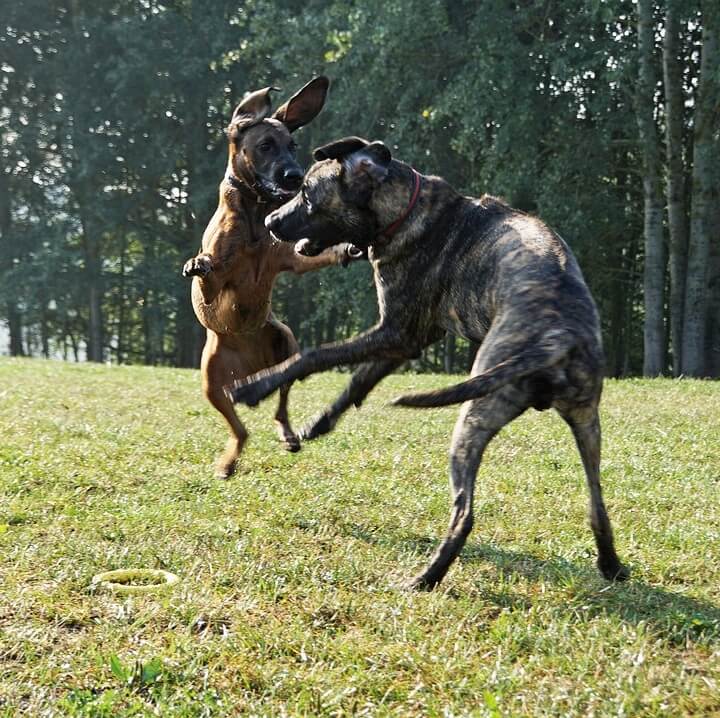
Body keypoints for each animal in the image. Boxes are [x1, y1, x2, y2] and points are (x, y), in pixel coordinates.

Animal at [181, 80, 358, 478]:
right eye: (265, 145)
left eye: (292, 144)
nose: (295, 176)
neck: (253, 214)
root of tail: (250, 370)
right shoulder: (217, 284)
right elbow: (208, 276)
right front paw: (197, 263)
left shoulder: (289, 257)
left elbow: (311, 254)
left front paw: (346, 248)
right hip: (211, 381)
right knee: (240, 430)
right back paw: (227, 463)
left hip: (285, 343)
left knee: (280, 405)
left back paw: (288, 435)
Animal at [228, 135, 628, 592]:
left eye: (309, 194)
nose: (271, 220)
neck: (406, 210)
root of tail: (557, 335)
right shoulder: (409, 339)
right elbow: (359, 380)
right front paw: (319, 423)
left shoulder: (395, 330)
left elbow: (314, 355)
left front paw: (255, 386)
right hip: (586, 422)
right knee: (598, 505)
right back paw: (611, 565)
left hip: (474, 417)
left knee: (464, 513)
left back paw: (426, 578)